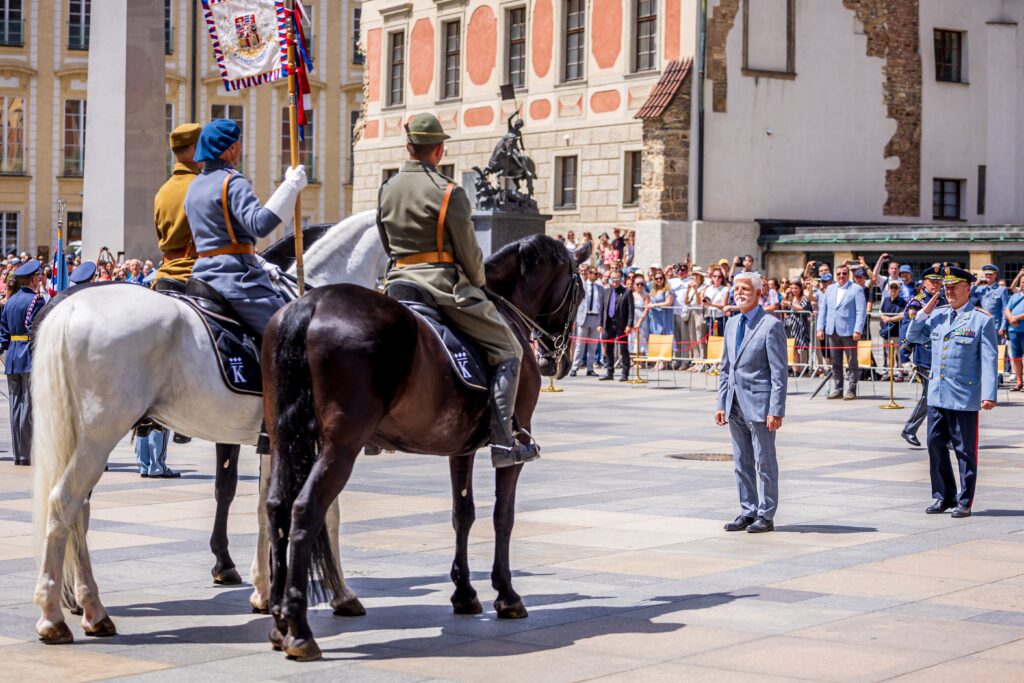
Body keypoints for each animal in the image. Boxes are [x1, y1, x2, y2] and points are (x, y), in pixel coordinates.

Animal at [31, 210, 387, 644]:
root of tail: (71, 306)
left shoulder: (274, 441)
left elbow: (264, 506)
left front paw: (264, 591)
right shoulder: (318, 439)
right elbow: (325, 511)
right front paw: (340, 594)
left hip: (83, 438)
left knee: (78, 510)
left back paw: (91, 609)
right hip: (99, 437)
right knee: (64, 502)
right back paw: (54, 615)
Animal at [263, 235, 586, 660]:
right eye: (580, 291)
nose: (560, 361)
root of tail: (311, 303)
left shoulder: (460, 448)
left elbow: (462, 514)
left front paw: (464, 593)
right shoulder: (513, 445)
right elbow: (503, 516)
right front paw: (507, 595)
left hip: (284, 437)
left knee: (277, 507)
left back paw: (279, 621)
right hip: (340, 445)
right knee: (305, 509)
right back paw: (300, 631)